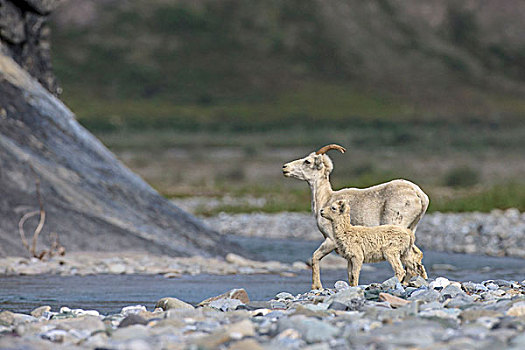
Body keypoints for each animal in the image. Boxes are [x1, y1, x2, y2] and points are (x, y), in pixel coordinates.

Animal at [282, 144, 426, 288]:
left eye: (307, 161)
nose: (285, 167)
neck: (326, 198)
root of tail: (419, 195)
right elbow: (350, 275)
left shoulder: (331, 240)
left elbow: (315, 258)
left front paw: (317, 287)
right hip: (411, 230)